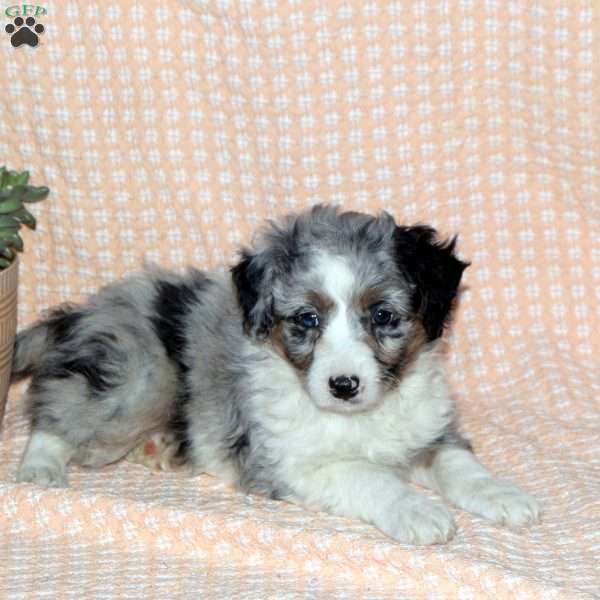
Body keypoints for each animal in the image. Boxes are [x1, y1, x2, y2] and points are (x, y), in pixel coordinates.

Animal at [9, 205, 540, 544]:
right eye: (307, 319)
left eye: (383, 316)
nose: (343, 386)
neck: (361, 418)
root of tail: (85, 311)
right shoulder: (293, 463)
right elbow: (370, 476)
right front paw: (417, 510)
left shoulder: (428, 429)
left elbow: (460, 465)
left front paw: (504, 495)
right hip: (136, 376)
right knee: (55, 406)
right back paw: (41, 467)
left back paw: (160, 448)